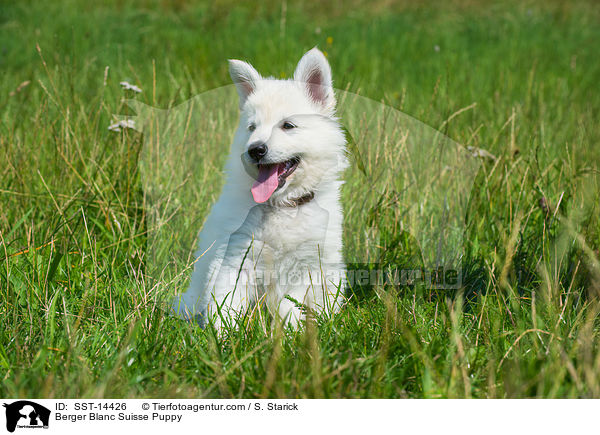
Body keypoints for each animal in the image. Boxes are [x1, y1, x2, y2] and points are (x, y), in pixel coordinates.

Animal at [172, 48, 346, 330]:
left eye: (288, 126)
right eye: (252, 128)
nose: (255, 150)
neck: (282, 206)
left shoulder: (305, 266)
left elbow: (289, 306)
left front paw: (291, 331)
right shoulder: (236, 257)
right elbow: (226, 304)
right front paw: (223, 336)